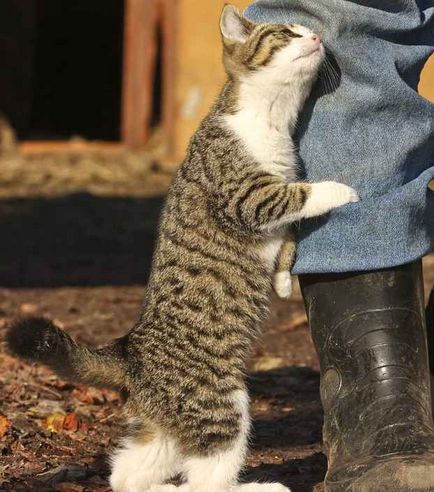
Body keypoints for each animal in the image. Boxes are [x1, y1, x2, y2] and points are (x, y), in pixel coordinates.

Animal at [6, 4, 360, 492]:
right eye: (287, 33)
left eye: (302, 29)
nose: (316, 36)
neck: (269, 119)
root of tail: (131, 354)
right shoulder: (246, 195)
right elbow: (301, 194)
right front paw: (340, 191)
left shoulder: (271, 205)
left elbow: (289, 231)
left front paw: (284, 279)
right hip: (221, 404)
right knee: (207, 481)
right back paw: (256, 486)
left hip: (165, 430)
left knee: (128, 474)